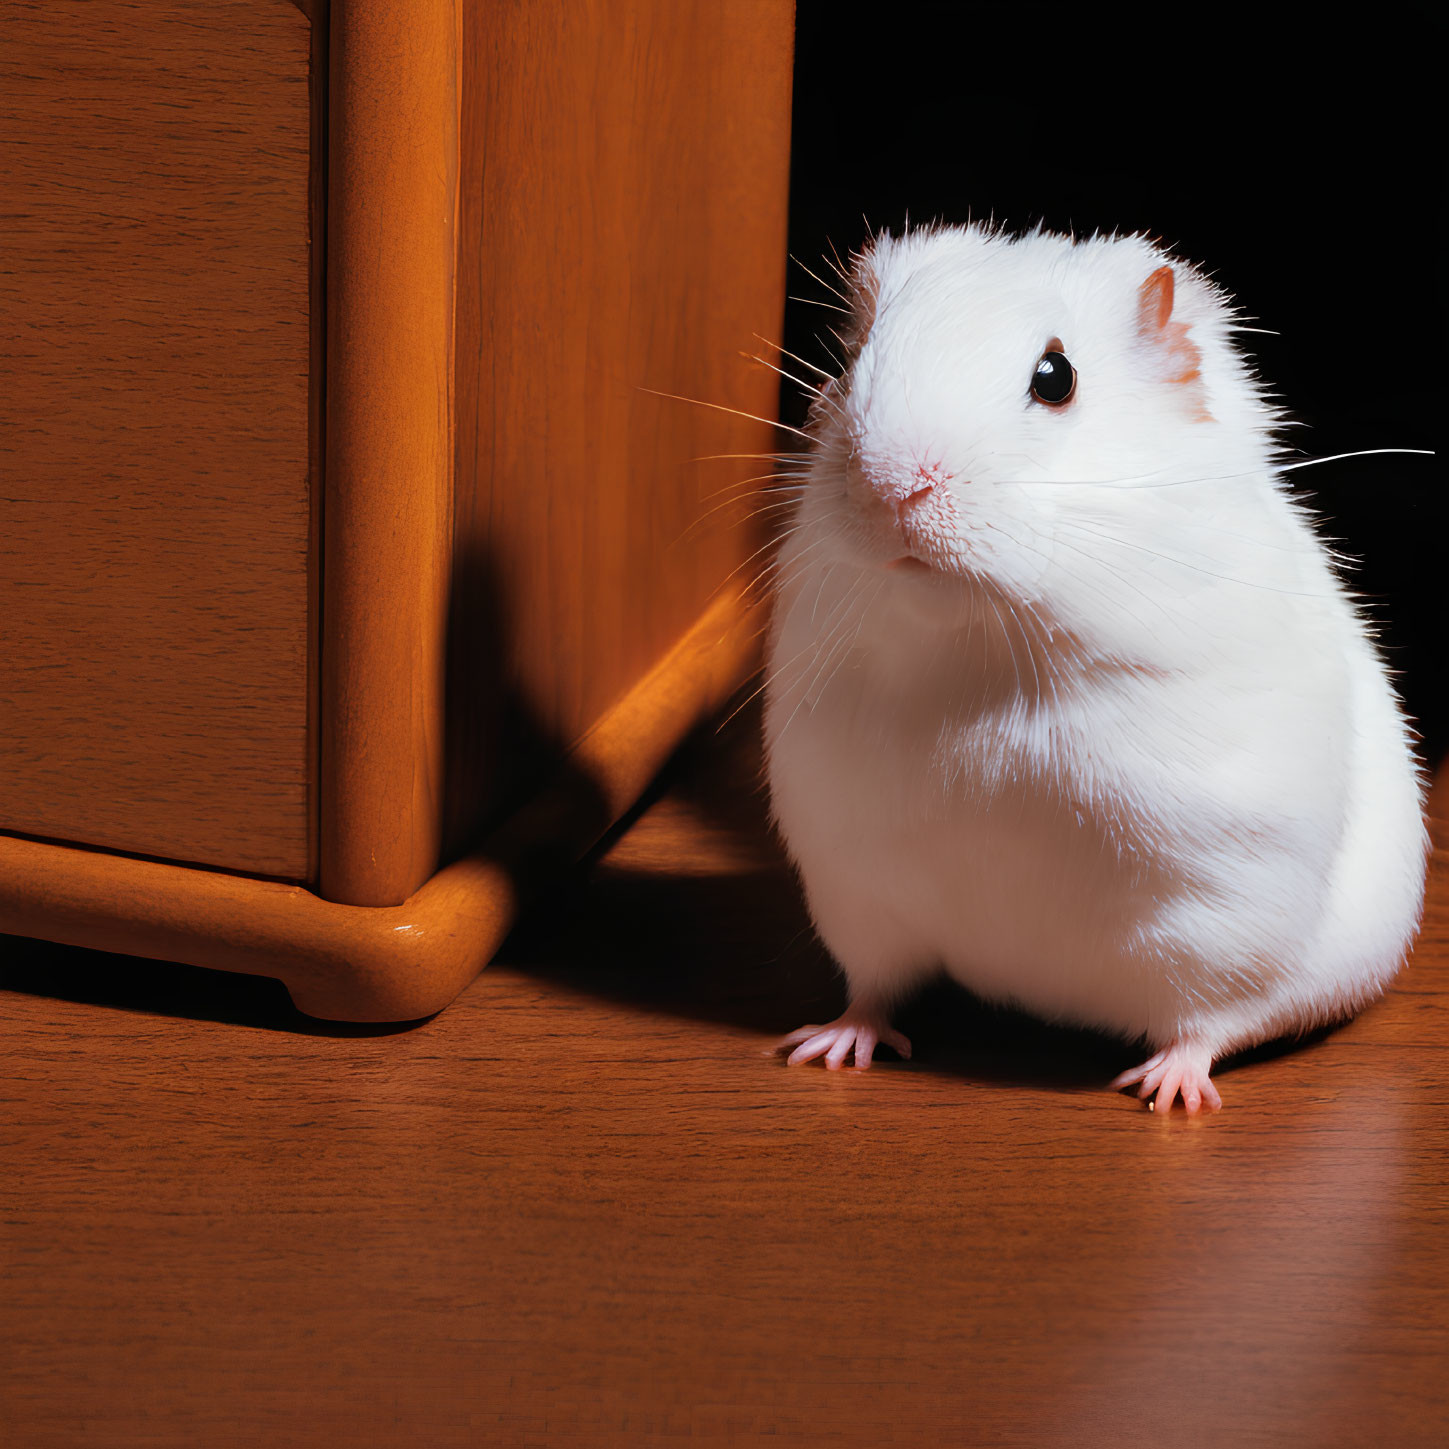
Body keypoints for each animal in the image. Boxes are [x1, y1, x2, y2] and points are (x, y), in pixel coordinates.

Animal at [770, 223, 1425, 1107]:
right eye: (851, 360)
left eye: (1055, 378)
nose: (889, 489)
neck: (979, 644)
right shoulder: (852, 876)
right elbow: (871, 986)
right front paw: (817, 1049)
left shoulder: (1224, 896)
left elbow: (1212, 1016)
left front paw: (1162, 1099)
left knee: (1213, 1022)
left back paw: (1164, 1090)